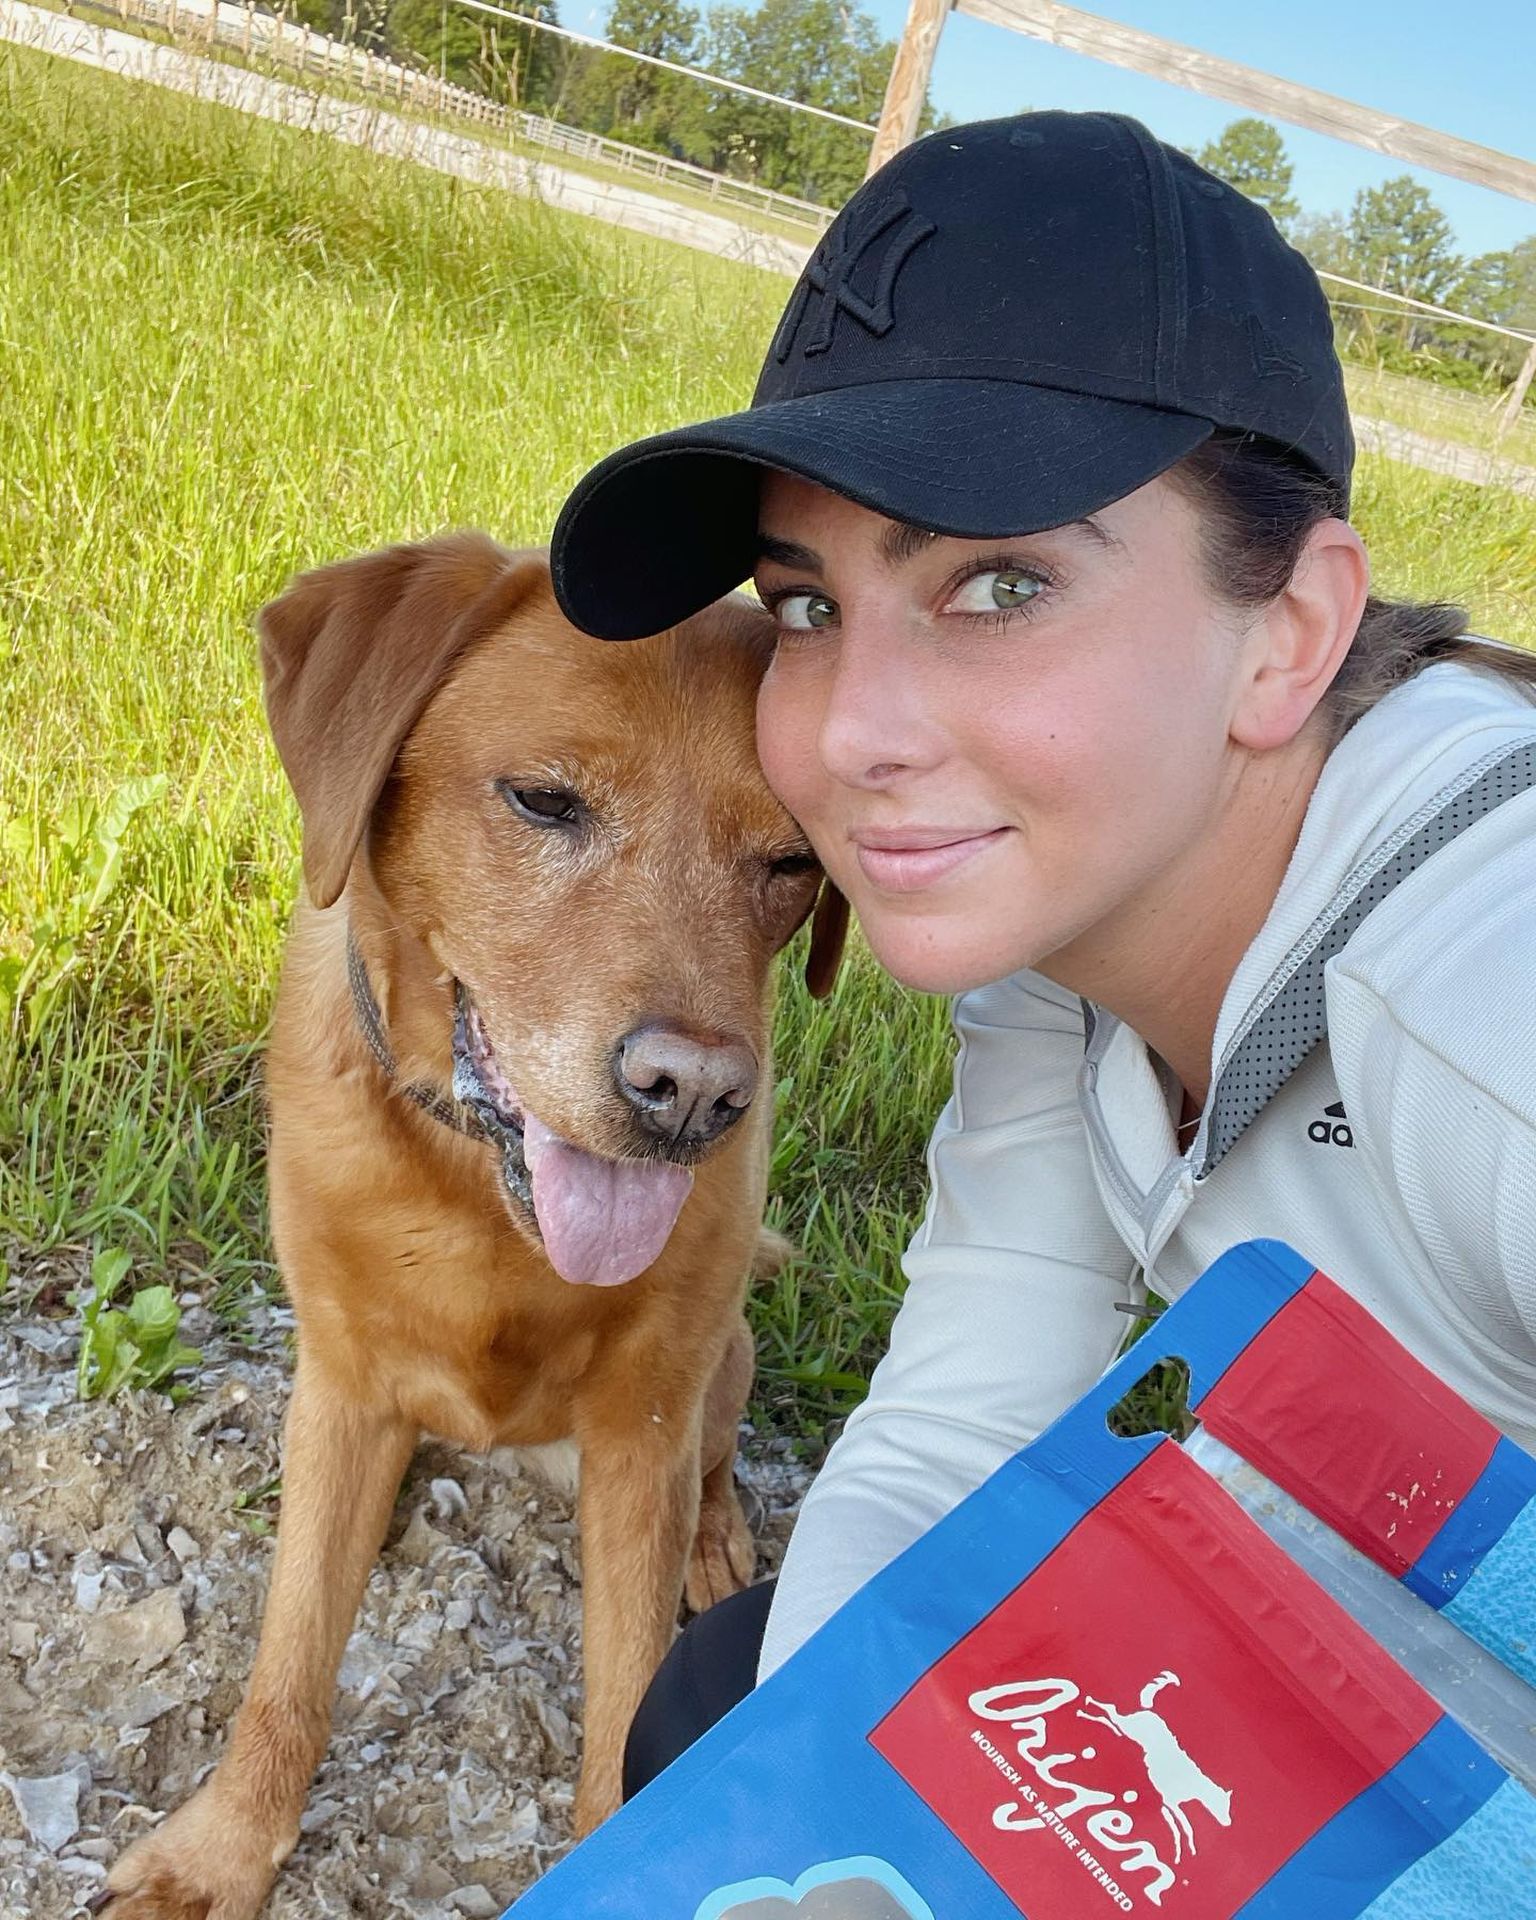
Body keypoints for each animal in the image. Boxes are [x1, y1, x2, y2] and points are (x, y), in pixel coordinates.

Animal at [102, 532, 845, 1919]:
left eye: (792, 863)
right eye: (545, 802)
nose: (693, 1099)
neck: (484, 1201)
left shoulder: (642, 1429)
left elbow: (627, 1694)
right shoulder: (340, 1375)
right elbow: (288, 1661)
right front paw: (224, 1847)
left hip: (717, 1366)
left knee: (716, 1460)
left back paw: (719, 1539)